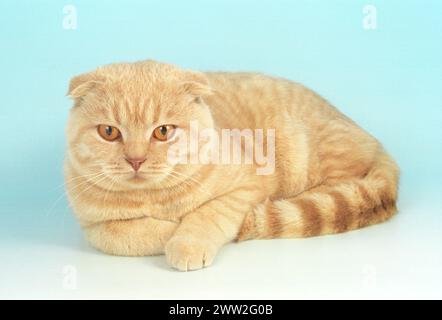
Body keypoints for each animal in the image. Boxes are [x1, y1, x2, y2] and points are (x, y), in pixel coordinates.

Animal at [65, 59, 400, 270]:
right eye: (109, 132)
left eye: (163, 131)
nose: (135, 159)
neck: (156, 197)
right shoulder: (93, 227)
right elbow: (125, 234)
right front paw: (168, 230)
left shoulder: (248, 184)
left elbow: (207, 214)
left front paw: (186, 240)